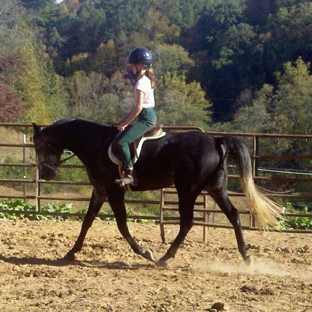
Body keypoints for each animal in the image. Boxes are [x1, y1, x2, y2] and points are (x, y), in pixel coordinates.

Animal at [32, 119, 282, 266]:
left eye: (39, 146)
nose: (46, 174)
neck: (97, 145)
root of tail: (215, 140)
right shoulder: (100, 191)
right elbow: (87, 221)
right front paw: (70, 253)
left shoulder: (114, 191)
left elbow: (122, 224)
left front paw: (144, 252)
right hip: (215, 188)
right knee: (233, 215)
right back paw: (246, 256)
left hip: (188, 189)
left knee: (187, 222)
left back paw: (164, 258)